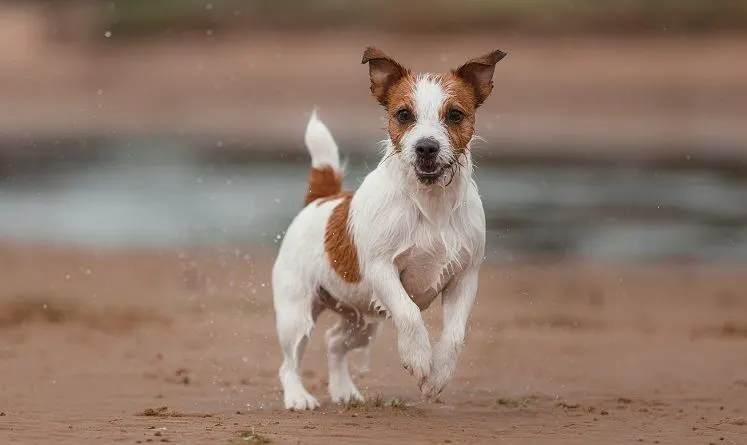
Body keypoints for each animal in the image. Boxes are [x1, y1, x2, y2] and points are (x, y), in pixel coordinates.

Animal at [272, 46, 506, 410]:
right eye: (403, 114)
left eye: (455, 115)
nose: (426, 147)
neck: (430, 203)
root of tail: (322, 198)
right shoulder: (382, 269)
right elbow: (409, 313)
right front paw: (419, 357)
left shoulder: (465, 278)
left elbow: (454, 335)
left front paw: (437, 376)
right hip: (296, 314)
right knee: (289, 362)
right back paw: (298, 397)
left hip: (361, 318)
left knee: (334, 341)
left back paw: (344, 390)